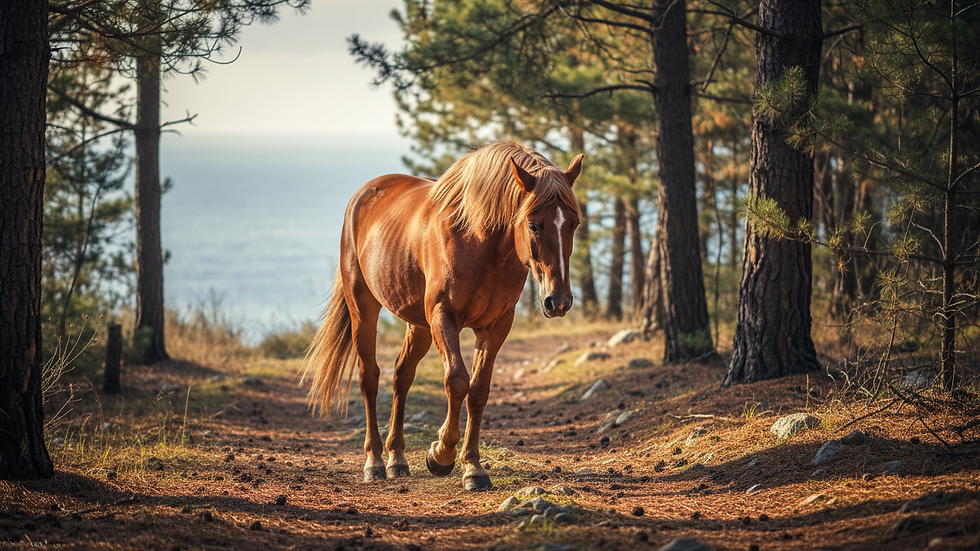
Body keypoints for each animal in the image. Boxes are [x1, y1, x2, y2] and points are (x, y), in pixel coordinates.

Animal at [304, 141, 583, 491]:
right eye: (533, 224)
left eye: (574, 224)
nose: (558, 301)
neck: (480, 243)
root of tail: (365, 194)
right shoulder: (443, 317)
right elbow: (457, 381)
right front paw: (441, 454)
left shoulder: (496, 326)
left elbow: (478, 391)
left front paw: (473, 467)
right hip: (364, 310)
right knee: (370, 378)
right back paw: (375, 462)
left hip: (418, 325)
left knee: (402, 375)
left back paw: (397, 458)